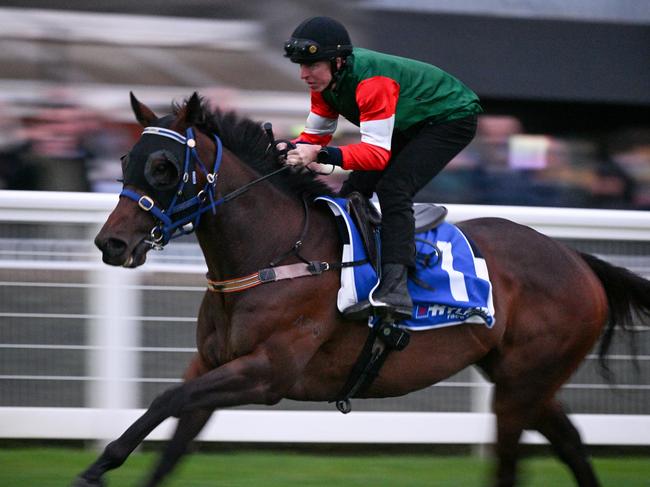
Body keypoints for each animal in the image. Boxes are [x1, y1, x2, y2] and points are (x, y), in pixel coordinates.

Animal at [73, 92, 644, 487]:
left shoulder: (268, 373)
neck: (276, 254)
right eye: (125, 161)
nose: (111, 243)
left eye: (164, 168)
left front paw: (97, 467)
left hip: (522, 386)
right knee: (571, 442)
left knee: (511, 462)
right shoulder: (212, 364)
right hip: (524, 379)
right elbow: (173, 437)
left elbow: (166, 397)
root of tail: (577, 259)